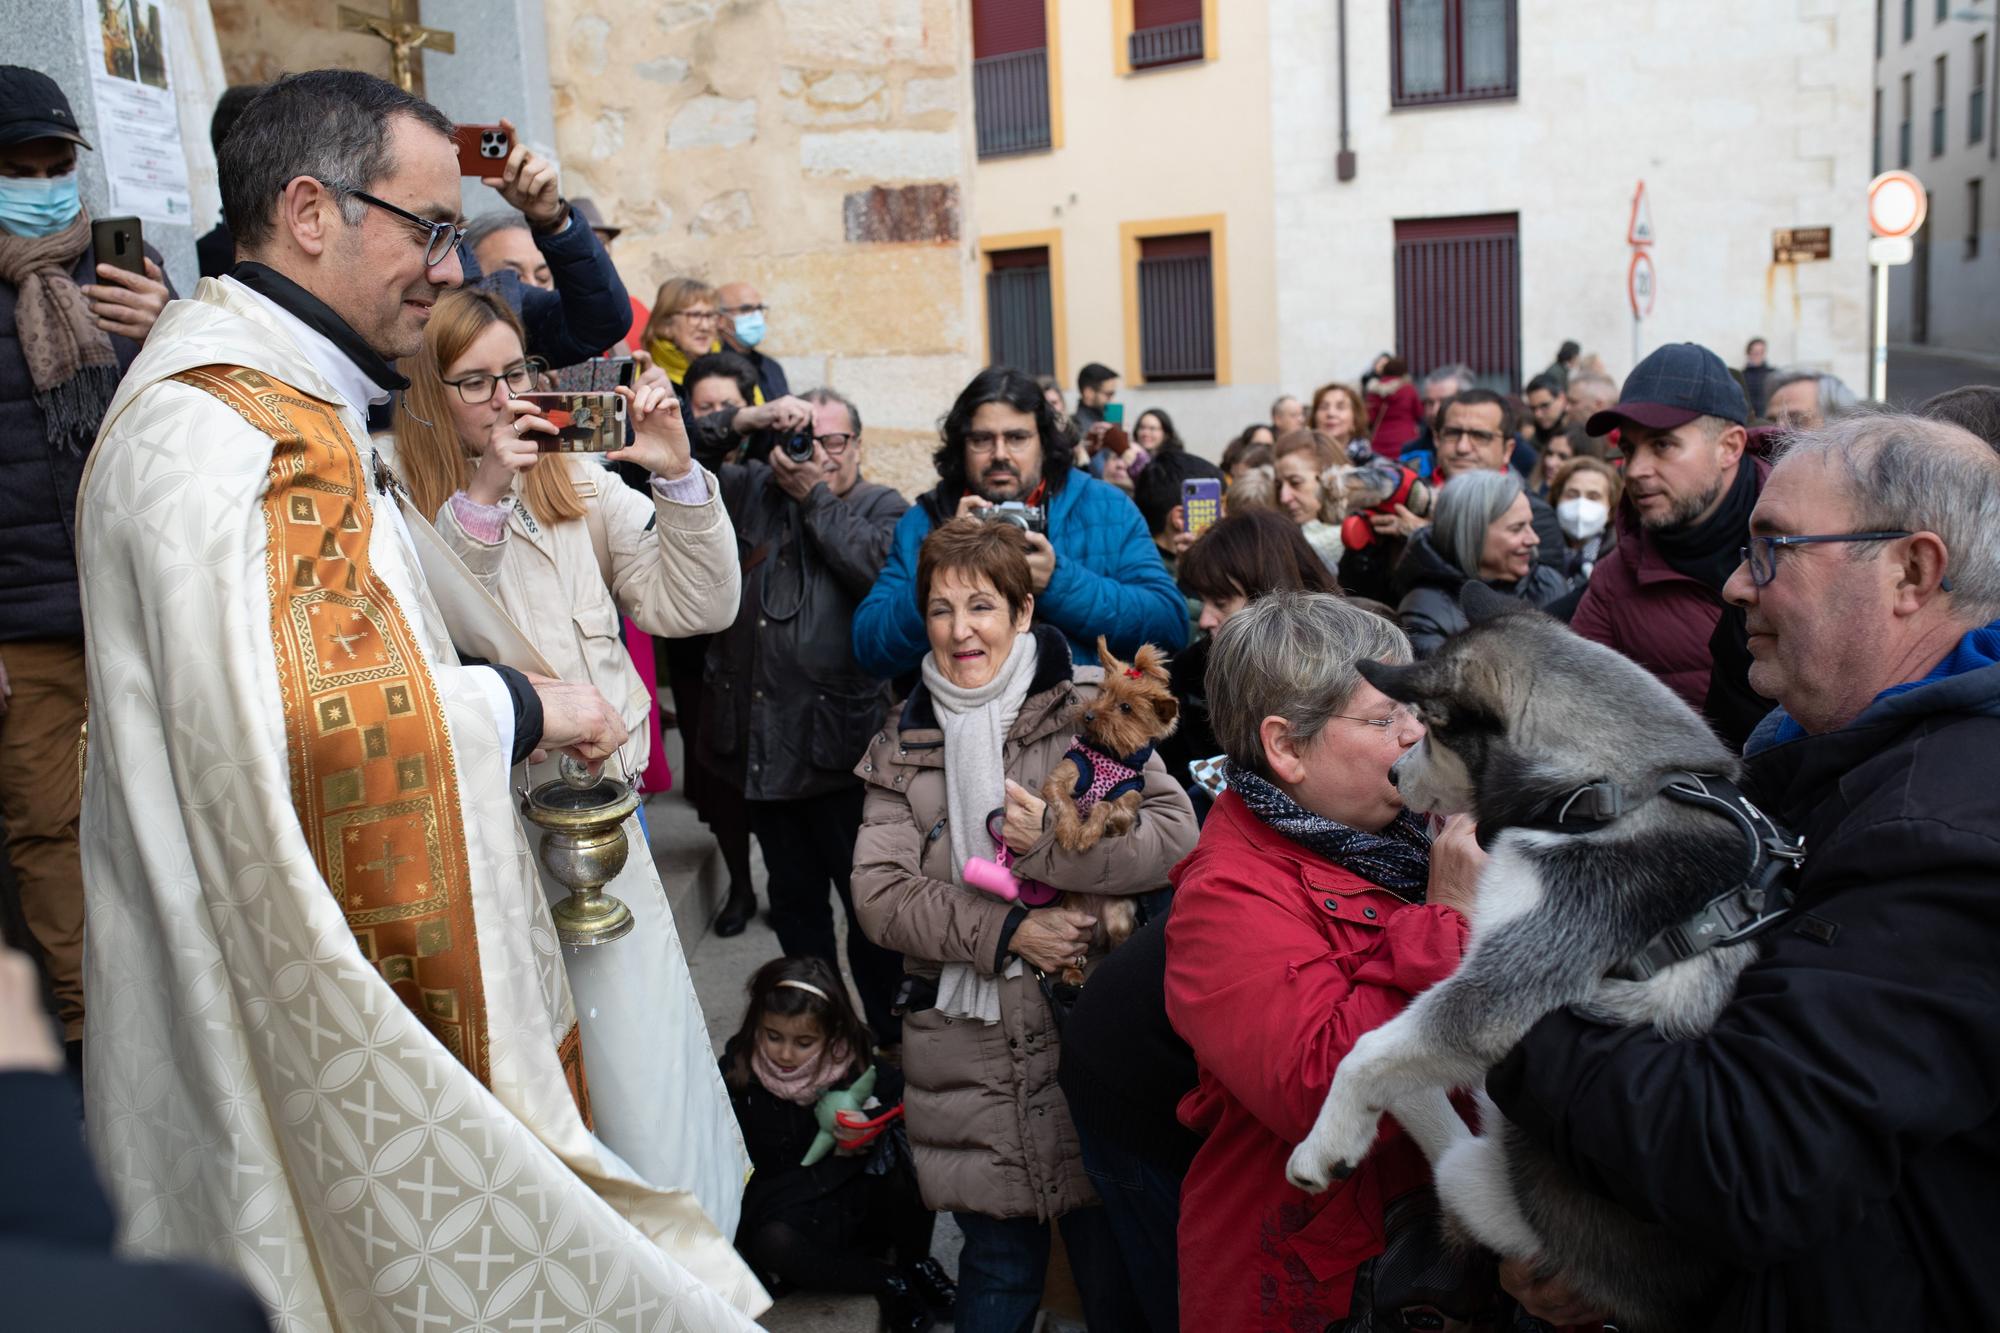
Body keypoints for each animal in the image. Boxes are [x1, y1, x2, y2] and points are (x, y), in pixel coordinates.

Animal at [1040, 640, 1176, 980]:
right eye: (1102, 692)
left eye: (1126, 707)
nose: (1088, 715)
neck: (1110, 754)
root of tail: (1096, 919)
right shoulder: (1060, 779)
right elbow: (1065, 802)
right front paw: (1069, 831)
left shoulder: (1126, 811)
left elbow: (1103, 805)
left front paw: (1087, 834)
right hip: (1072, 918)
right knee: (1074, 952)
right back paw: (1073, 973)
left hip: (1119, 918)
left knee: (1114, 944)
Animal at [1288, 588, 1808, 1320]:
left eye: (1430, 729)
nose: (1391, 770)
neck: (1609, 790)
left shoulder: (1516, 973)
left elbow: (1366, 1048)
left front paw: (1325, 1142)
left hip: (1504, 1192)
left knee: (1454, 1149)